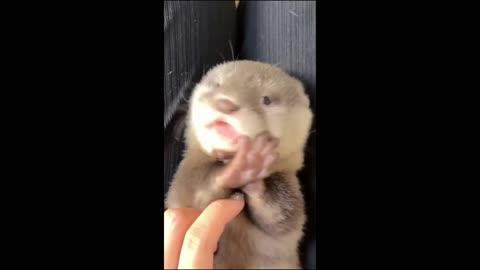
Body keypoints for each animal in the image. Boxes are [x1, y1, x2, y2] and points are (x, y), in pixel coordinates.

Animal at [167, 60, 314, 268]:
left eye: (266, 99)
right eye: (218, 84)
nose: (225, 104)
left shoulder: (290, 188)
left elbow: (281, 218)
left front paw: (252, 166)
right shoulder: (184, 181)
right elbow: (196, 192)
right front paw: (240, 167)